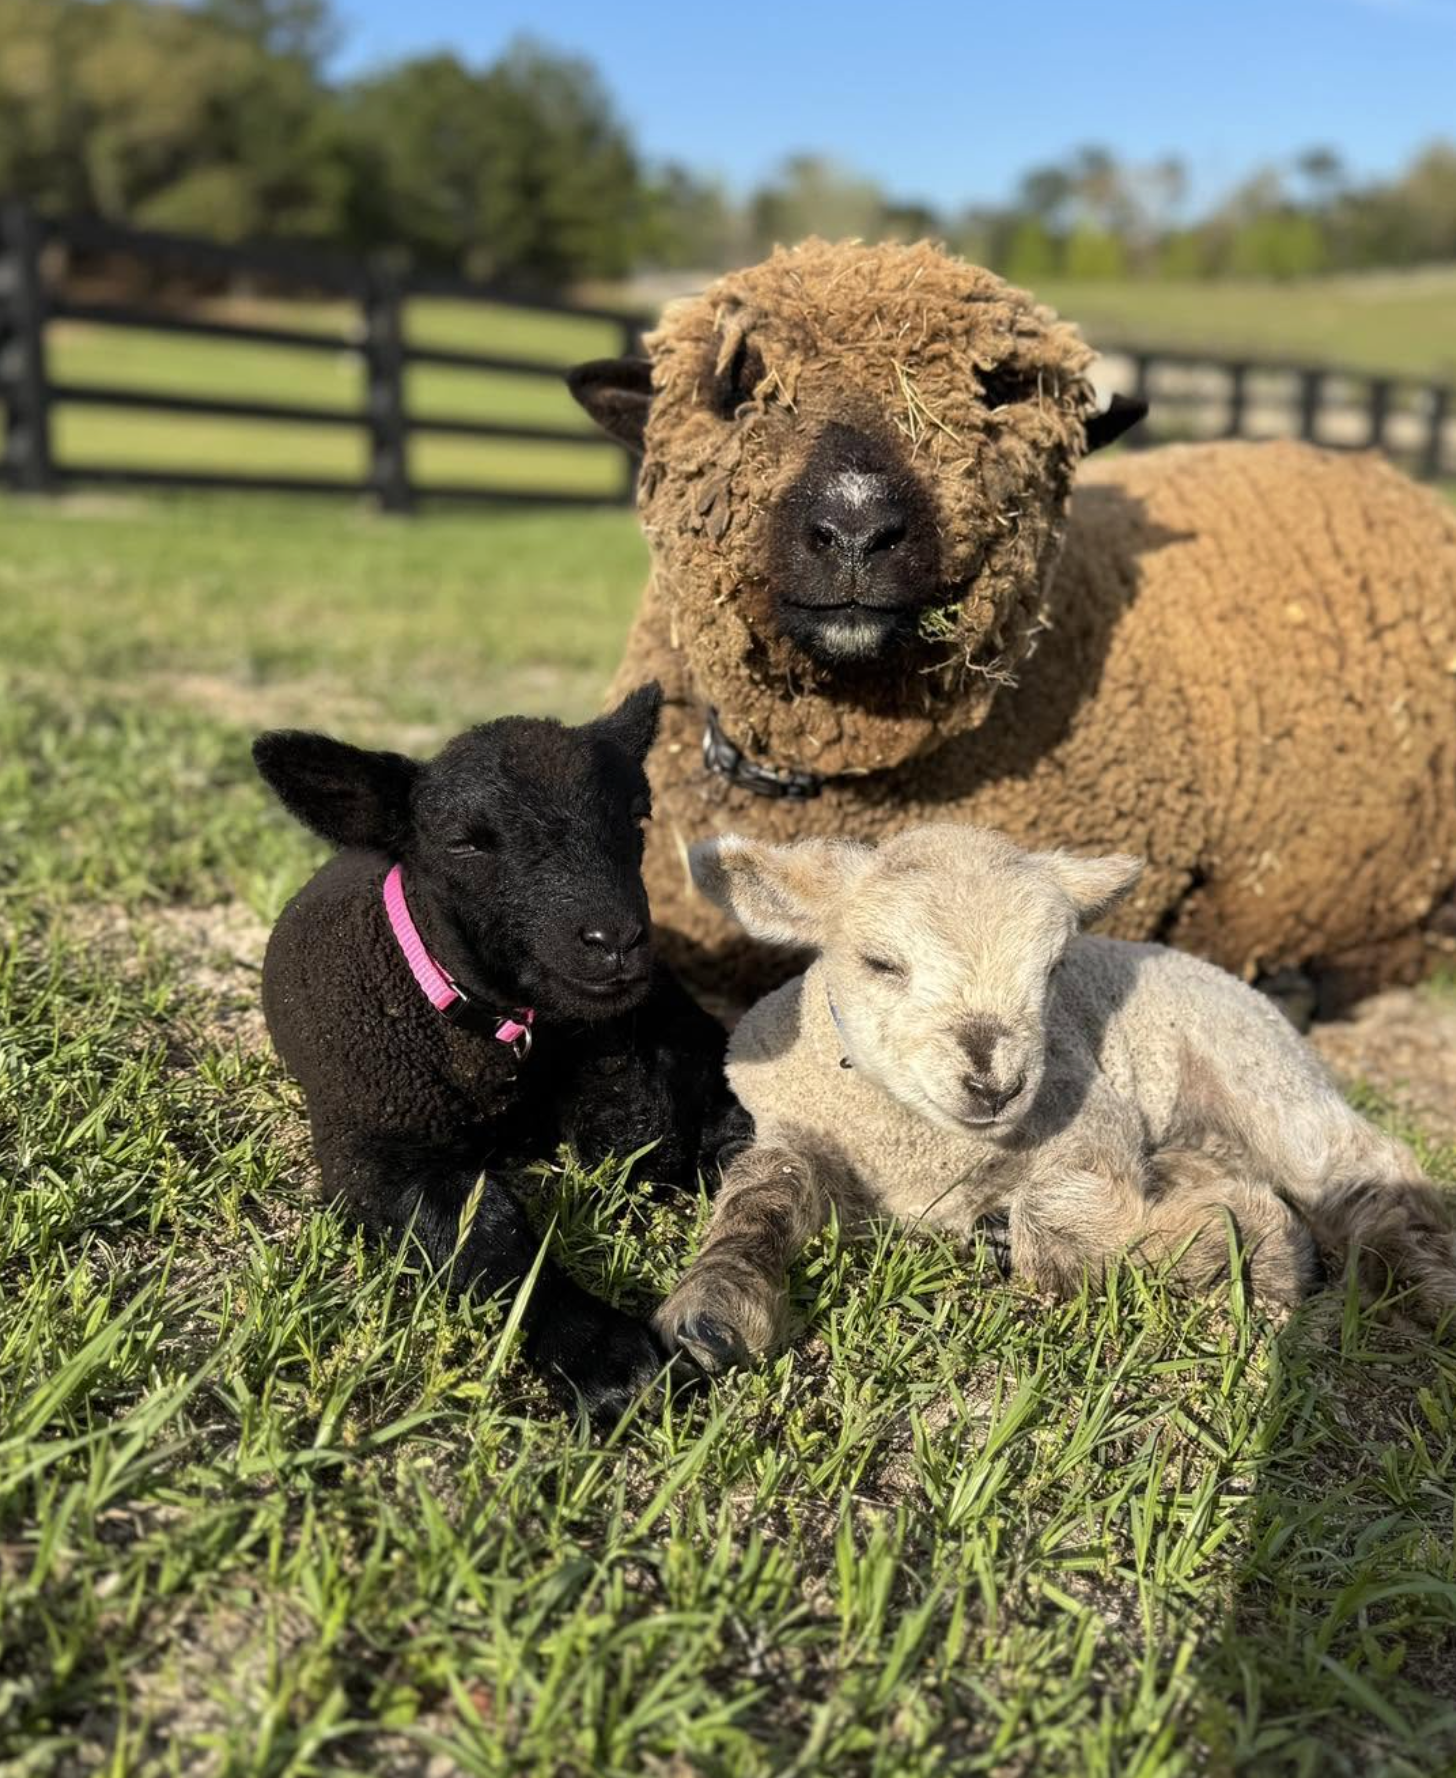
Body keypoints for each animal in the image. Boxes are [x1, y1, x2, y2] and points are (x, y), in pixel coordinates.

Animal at [253, 684, 747, 1419]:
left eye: (637, 817)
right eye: (464, 843)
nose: (615, 940)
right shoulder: (376, 1157)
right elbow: (489, 1236)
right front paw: (604, 1356)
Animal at [652, 825, 1456, 1372]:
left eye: (1053, 967)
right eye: (880, 962)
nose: (995, 1083)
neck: (919, 1151)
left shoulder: (1090, 1112)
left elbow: (1048, 1215)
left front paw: (1234, 1240)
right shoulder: (792, 1130)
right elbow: (763, 1191)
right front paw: (714, 1307)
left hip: (1256, 1071)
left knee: (1364, 1167)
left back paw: (1423, 1283)